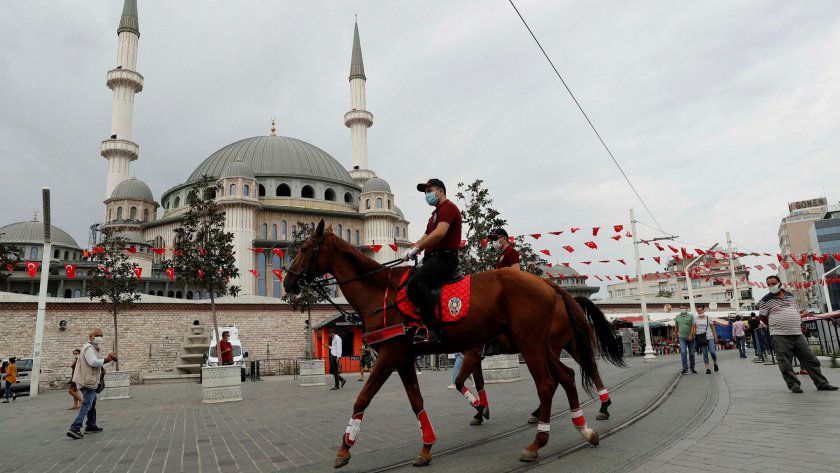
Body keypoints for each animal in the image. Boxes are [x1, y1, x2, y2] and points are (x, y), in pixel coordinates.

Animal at [286, 222, 600, 468]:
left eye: (304, 249)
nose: (288, 281)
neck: (380, 294)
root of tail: (549, 285)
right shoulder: (404, 358)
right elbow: (417, 401)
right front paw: (427, 447)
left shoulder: (390, 355)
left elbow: (362, 398)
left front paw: (345, 448)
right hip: (542, 345)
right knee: (567, 375)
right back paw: (584, 428)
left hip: (531, 345)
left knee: (547, 384)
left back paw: (538, 442)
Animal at [452, 296, 624, 424]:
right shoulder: (475, 356)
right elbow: (479, 383)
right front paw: (481, 412)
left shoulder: (471, 354)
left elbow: (459, 382)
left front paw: (479, 408)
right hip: (572, 345)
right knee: (591, 369)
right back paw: (604, 407)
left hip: (549, 348)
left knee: (556, 379)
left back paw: (537, 413)